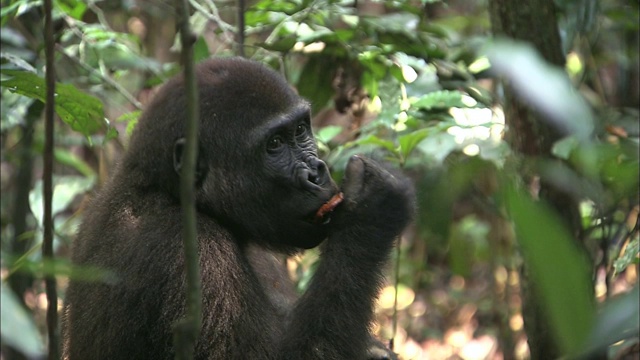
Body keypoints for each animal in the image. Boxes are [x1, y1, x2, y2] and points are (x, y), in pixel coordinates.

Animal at [62, 57, 416, 358]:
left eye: (301, 130)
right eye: (274, 144)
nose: (317, 173)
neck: (160, 188)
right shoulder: (194, 257)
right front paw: (371, 215)